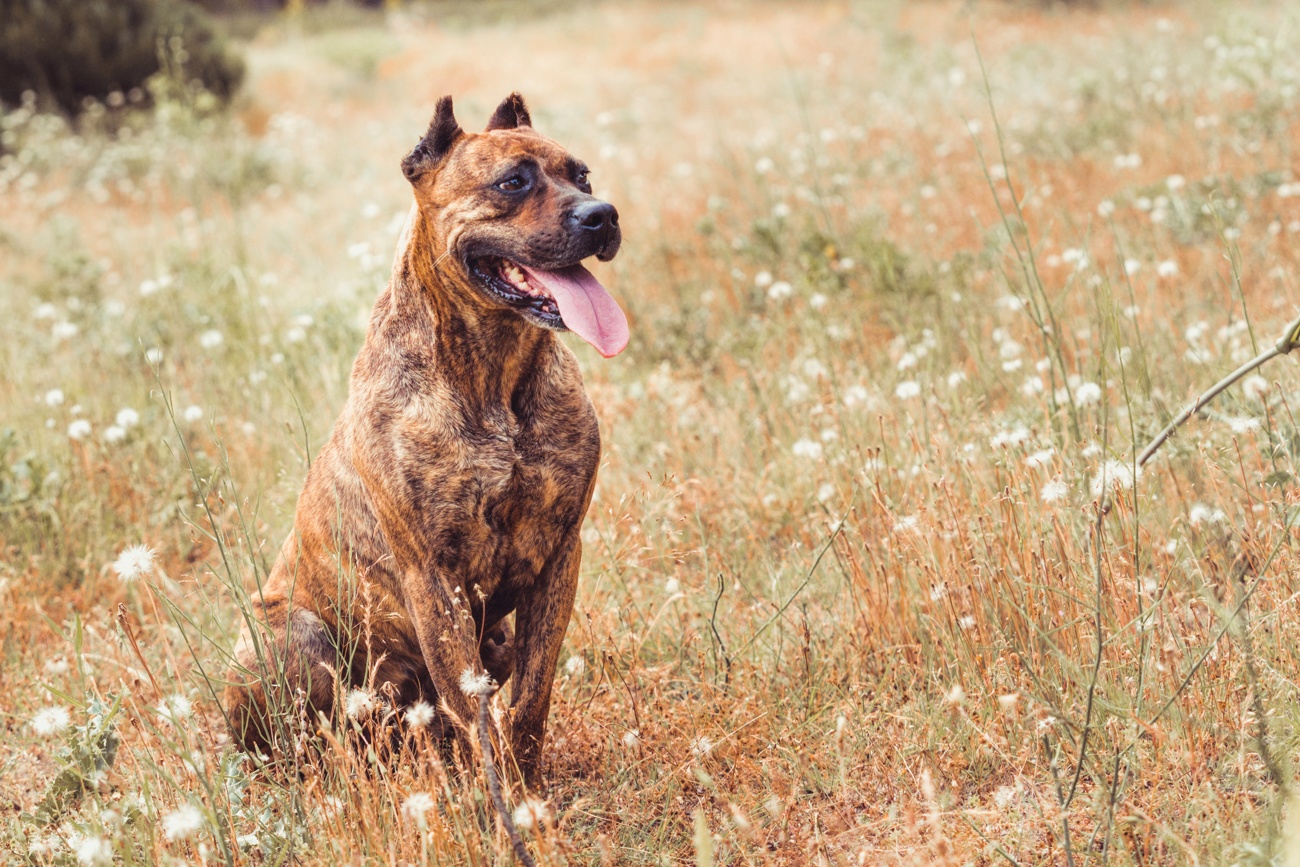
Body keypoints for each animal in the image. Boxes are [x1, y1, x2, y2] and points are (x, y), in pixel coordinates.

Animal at [223, 91, 629, 785]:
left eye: (583, 176)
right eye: (513, 182)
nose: (601, 215)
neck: (493, 375)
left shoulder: (558, 556)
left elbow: (531, 697)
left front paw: (527, 789)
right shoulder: (432, 578)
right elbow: (477, 714)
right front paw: (501, 804)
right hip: (292, 635)